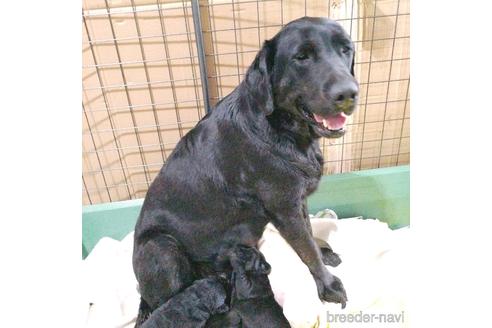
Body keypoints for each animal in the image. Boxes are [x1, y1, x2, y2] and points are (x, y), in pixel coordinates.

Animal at [133, 14, 360, 322]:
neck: (283, 129)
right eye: (301, 57)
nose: (348, 93)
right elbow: (306, 249)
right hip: (160, 247)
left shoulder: (297, 200)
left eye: (345, 50)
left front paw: (324, 253)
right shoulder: (284, 208)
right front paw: (328, 287)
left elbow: (310, 234)